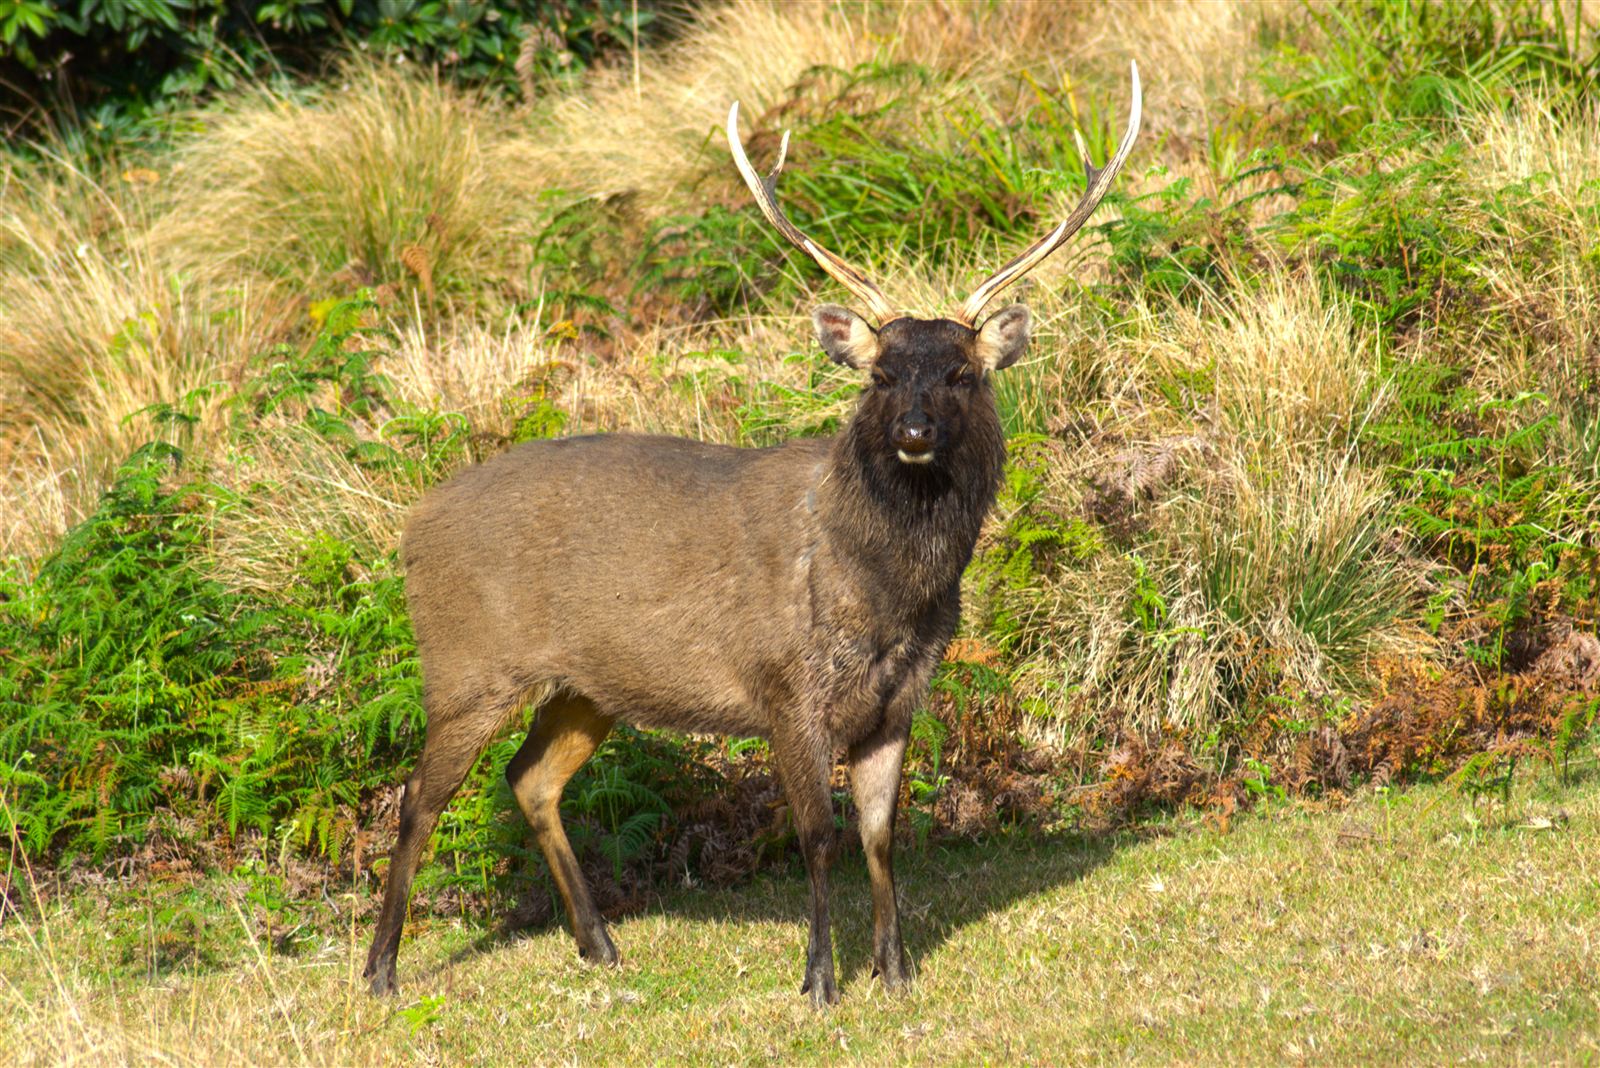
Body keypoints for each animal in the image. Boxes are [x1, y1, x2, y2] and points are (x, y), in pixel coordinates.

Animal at [363, 63, 1141, 1007]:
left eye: (961, 371)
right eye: (882, 373)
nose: (915, 431)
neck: (885, 591)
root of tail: (411, 526)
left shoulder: (900, 699)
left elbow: (880, 836)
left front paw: (894, 968)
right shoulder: (786, 688)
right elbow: (817, 837)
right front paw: (819, 981)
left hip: (587, 686)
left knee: (531, 776)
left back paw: (600, 944)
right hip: (467, 664)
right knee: (419, 798)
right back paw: (382, 970)